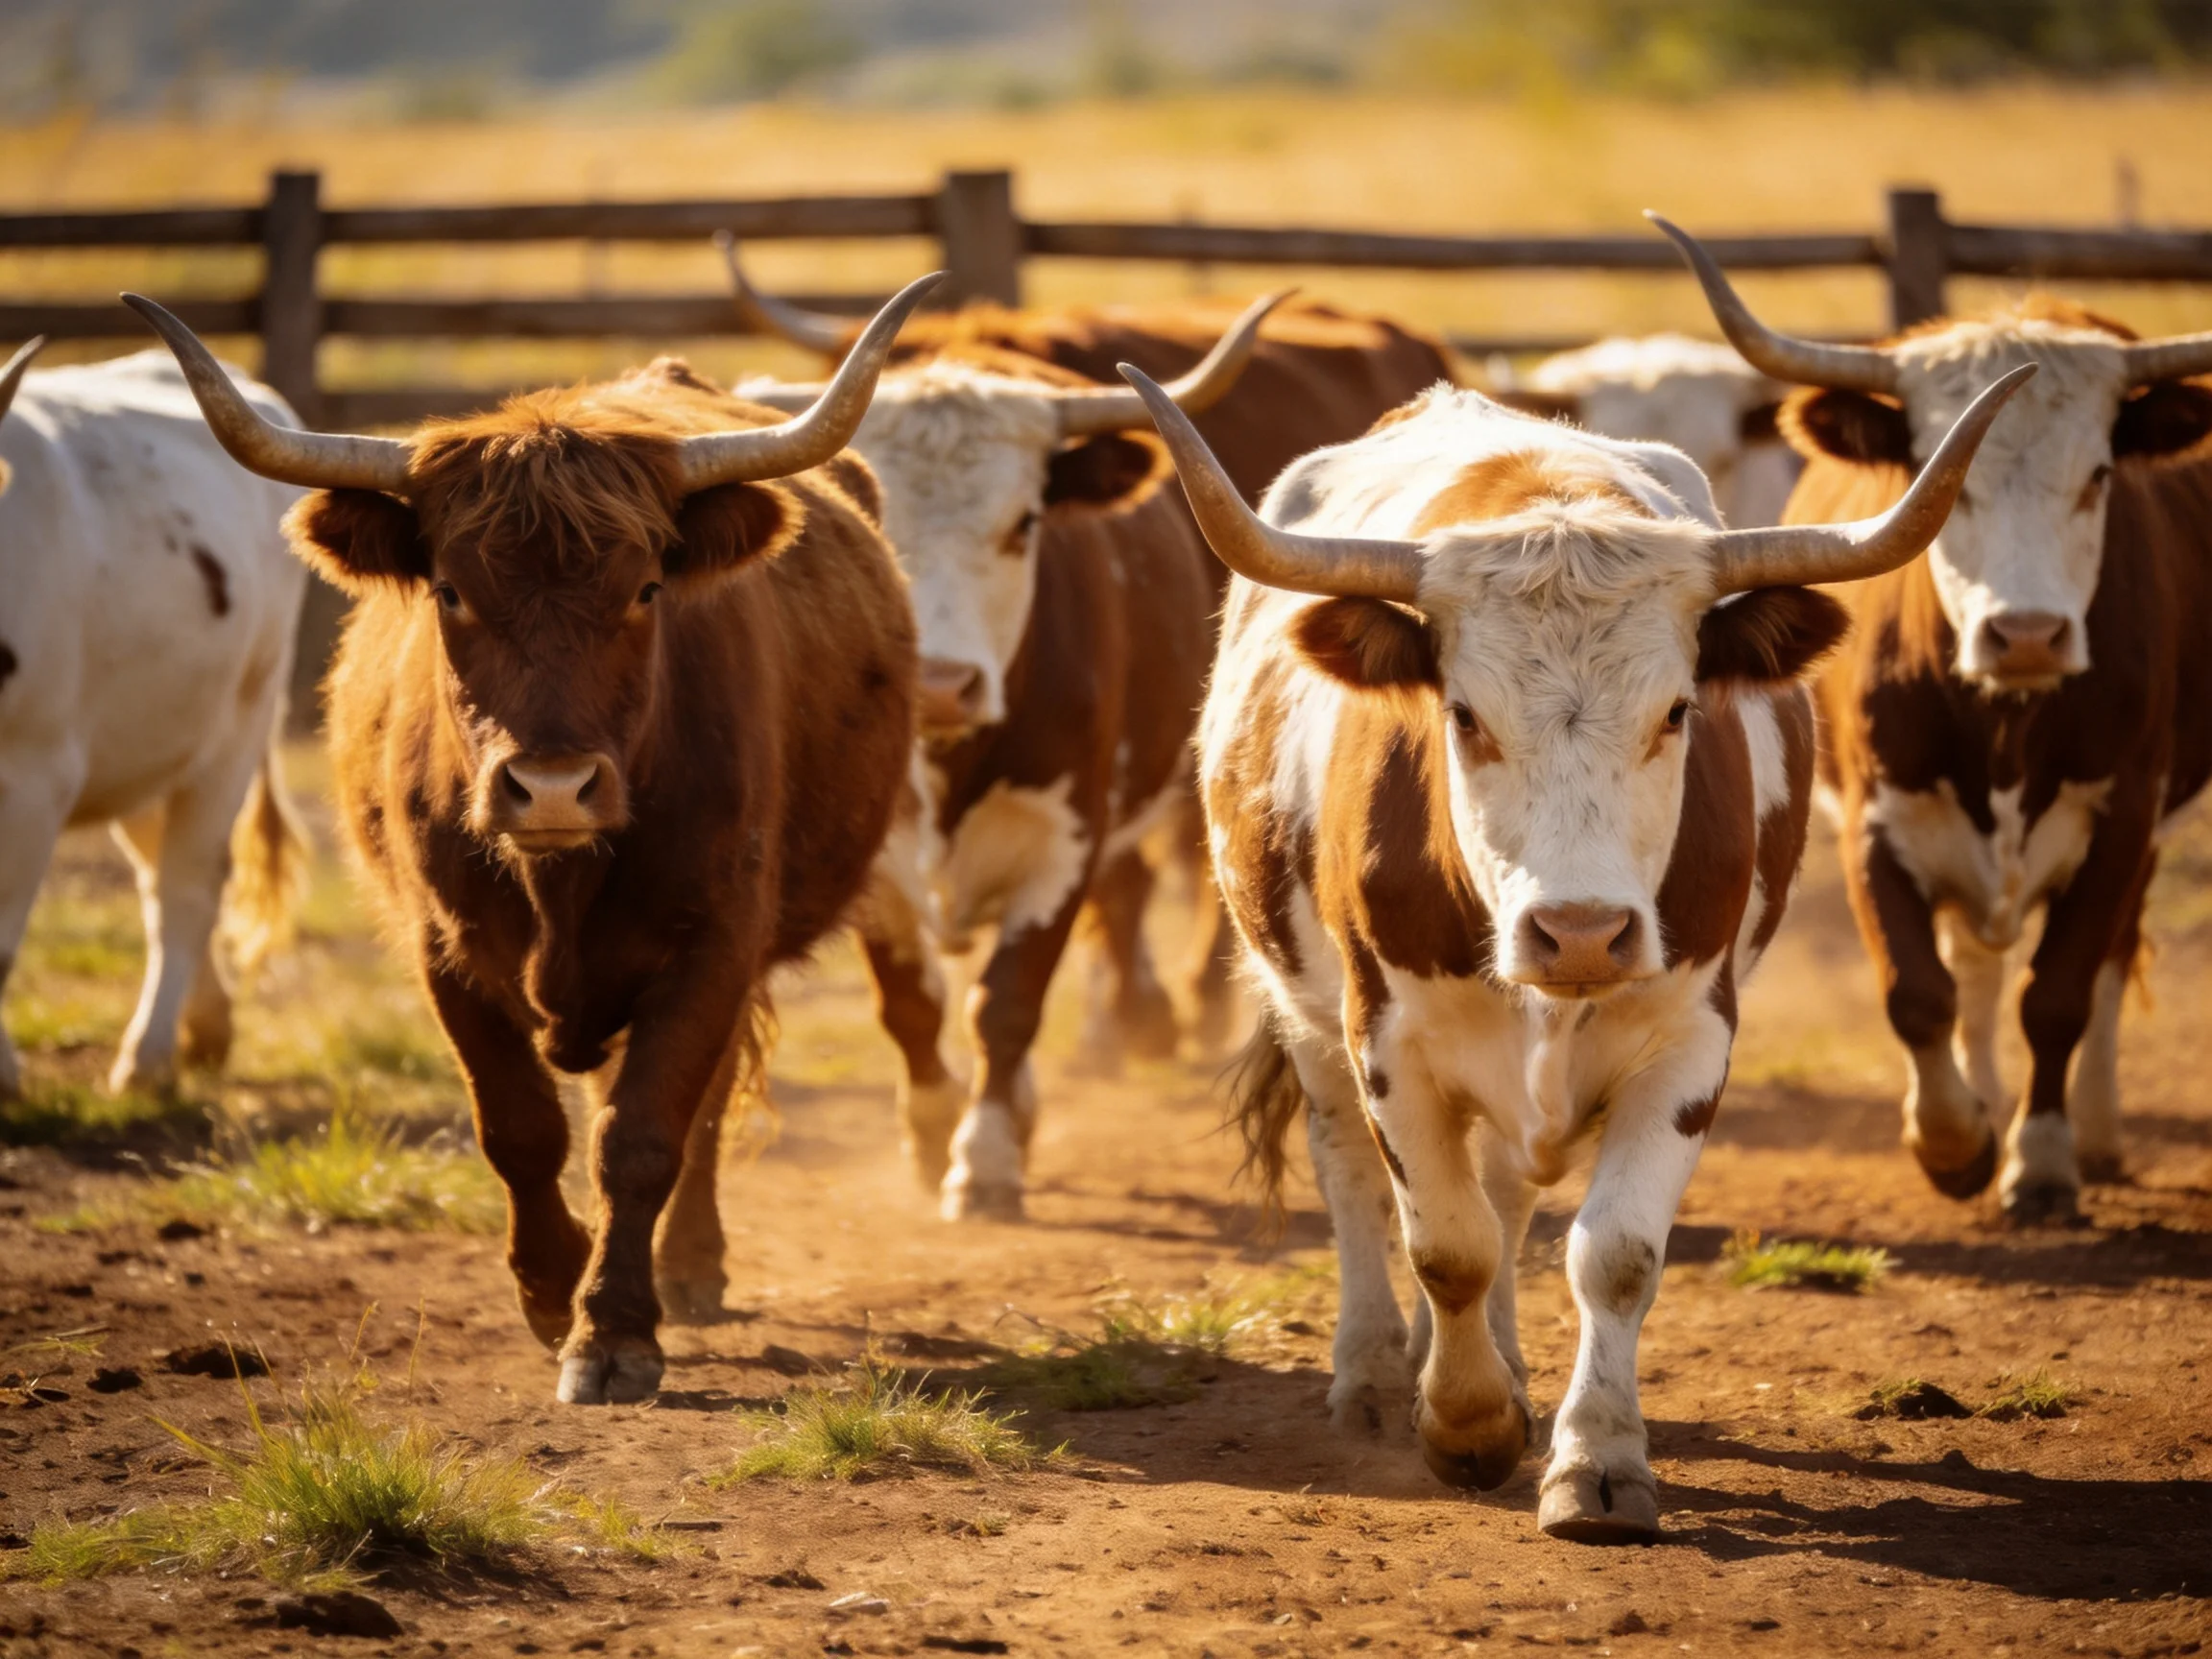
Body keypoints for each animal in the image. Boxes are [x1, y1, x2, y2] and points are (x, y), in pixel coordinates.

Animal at [0, 336, 306, 1102]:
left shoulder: (34, 777)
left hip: (238, 725)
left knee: (187, 883)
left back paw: (150, 1055)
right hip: (146, 741)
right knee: (156, 868)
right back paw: (206, 1025)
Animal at [127, 276, 935, 1403]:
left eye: (645, 589)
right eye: (452, 591)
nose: (552, 785)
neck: (560, 885)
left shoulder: (715, 941)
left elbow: (644, 1133)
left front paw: (615, 1332)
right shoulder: (445, 948)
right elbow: (519, 1127)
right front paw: (554, 1290)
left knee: (697, 1109)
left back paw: (688, 1269)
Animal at [725, 256, 1280, 1218]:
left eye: (1024, 524)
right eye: (875, 520)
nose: (942, 683)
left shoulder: (1062, 845)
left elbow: (1007, 1002)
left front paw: (982, 1158)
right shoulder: (876, 863)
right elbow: (911, 1005)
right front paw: (930, 1130)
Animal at [1656, 214, 2212, 1222]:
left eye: (2099, 475)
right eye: (1940, 478)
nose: (2025, 633)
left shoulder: (2125, 814)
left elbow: (2061, 993)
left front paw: (2042, 1161)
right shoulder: (1876, 821)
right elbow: (1919, 993)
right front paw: (1954, 1142)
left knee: (2107, 960)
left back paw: (2096, 1132)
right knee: (1975, 966)